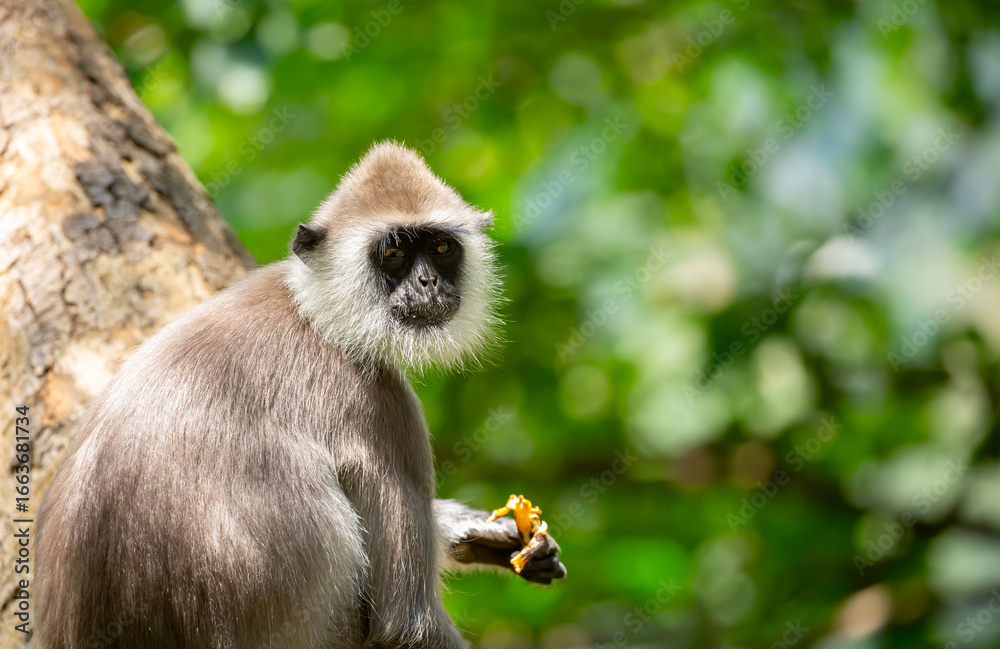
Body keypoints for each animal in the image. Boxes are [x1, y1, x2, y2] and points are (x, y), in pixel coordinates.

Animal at [35, 141, 566, 649]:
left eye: (440, 248)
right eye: (393, 254)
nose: (427, 281)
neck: (316, 315)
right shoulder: (378, 402)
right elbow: (406, 626)